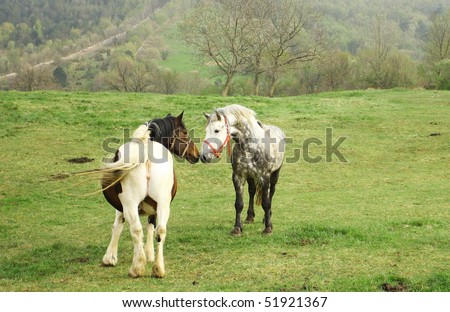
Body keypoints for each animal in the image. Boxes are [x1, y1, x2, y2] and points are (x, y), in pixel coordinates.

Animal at [200, 103, 284, 235]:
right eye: (206, 130)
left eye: (216, 130)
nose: (203, 157)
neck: (251, 146)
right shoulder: (238, 177)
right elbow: (239, 204)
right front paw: (237, 228)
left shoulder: (265, 177)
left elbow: (266, 203)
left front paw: (268, 227)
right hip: (250, 177)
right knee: (252, 191)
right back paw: (249, 217)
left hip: (275, 174)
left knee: (271, 192)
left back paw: (266, 217)